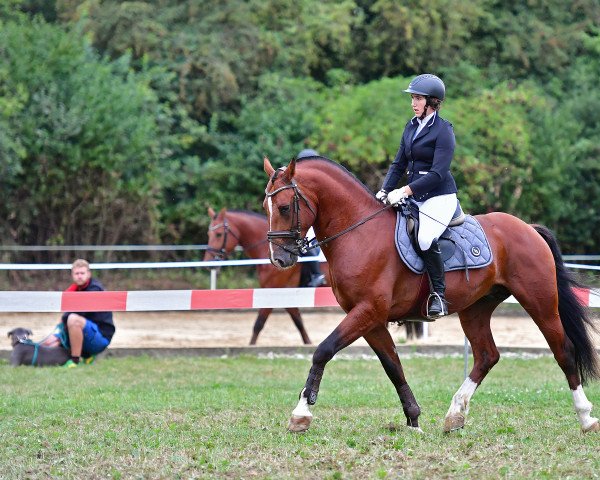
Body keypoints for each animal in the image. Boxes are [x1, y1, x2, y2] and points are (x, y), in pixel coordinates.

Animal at [204, 206, 330, 344]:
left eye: (219, 234)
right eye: (209, 234)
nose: (208, 263)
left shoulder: (273, 288)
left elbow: (259, 324)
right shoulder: (285, 291)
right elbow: (298, 321)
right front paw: (309, 343)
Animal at [264, 156, 600, 434]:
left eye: (284, 207)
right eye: (267, 208)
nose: (279, 259)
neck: (359, 233)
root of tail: (527, 227)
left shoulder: (368, 311)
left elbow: (323, 350)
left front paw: (301, 414)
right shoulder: (369, 318)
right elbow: (393, 366)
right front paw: (413, 419)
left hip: (539, 301)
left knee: (564, 351)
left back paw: (586, 418)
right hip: (476, 309)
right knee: (487, 355)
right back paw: (455, 415)